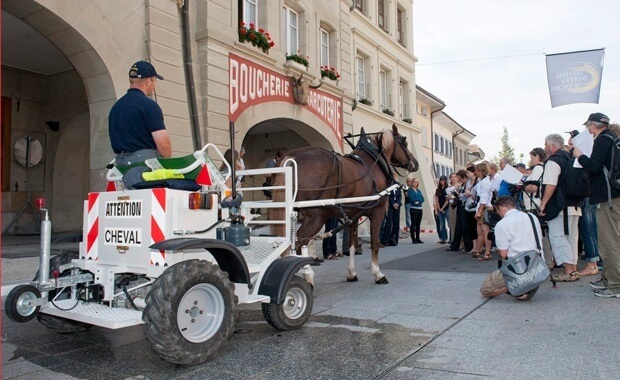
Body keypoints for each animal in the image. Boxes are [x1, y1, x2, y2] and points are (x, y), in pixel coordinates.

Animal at [272, 125, 414, 284]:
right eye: (405, 143)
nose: (415, 164)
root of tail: (291, 158)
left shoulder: (353, 215)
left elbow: (352, 243)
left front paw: (351, 273)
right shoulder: (378, 212)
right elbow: (375, 242)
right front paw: (378, 274)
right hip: (315, 218)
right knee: (299, 242)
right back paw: (307, 275)